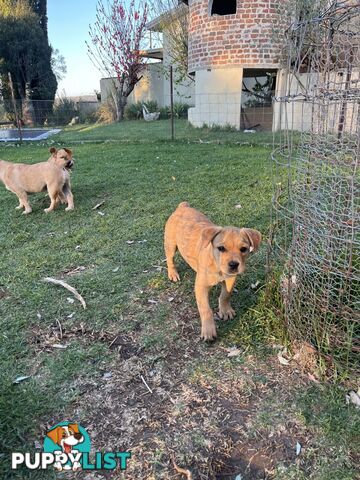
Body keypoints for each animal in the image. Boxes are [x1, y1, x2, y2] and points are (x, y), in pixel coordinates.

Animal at [164, 202, 262, 342]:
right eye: (221, 248)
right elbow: (206, 309)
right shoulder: (201, 287)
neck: (217, 266)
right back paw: (173, 274)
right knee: (170, 259)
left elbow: (226, 294)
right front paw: (208, 331)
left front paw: (225, 310)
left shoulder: (231, 278)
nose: (233, 264)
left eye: (244, 249)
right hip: (171, 244)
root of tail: (183, 206)